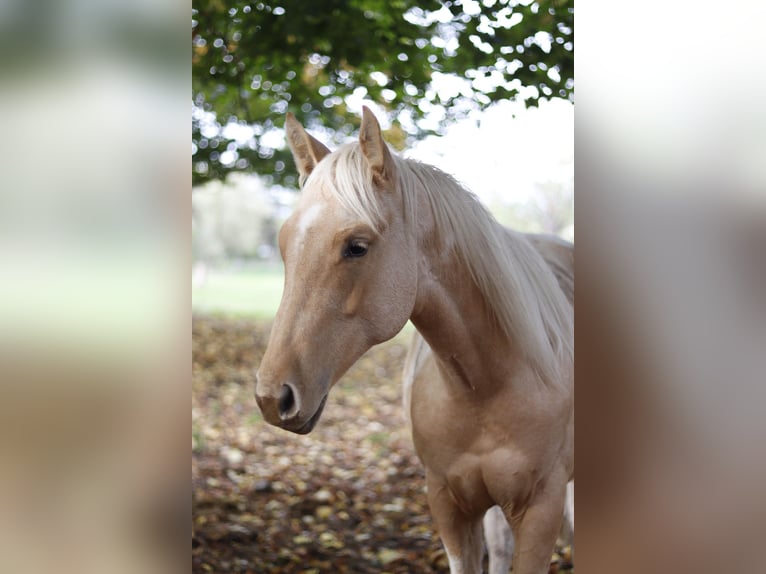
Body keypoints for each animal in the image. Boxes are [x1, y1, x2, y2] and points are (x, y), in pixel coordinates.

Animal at [258, 108, 576, 574]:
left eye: (357, 247)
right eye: (283, 245)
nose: (272, 397)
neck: (487, 385)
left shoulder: (541, 511)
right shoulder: (448, 505)